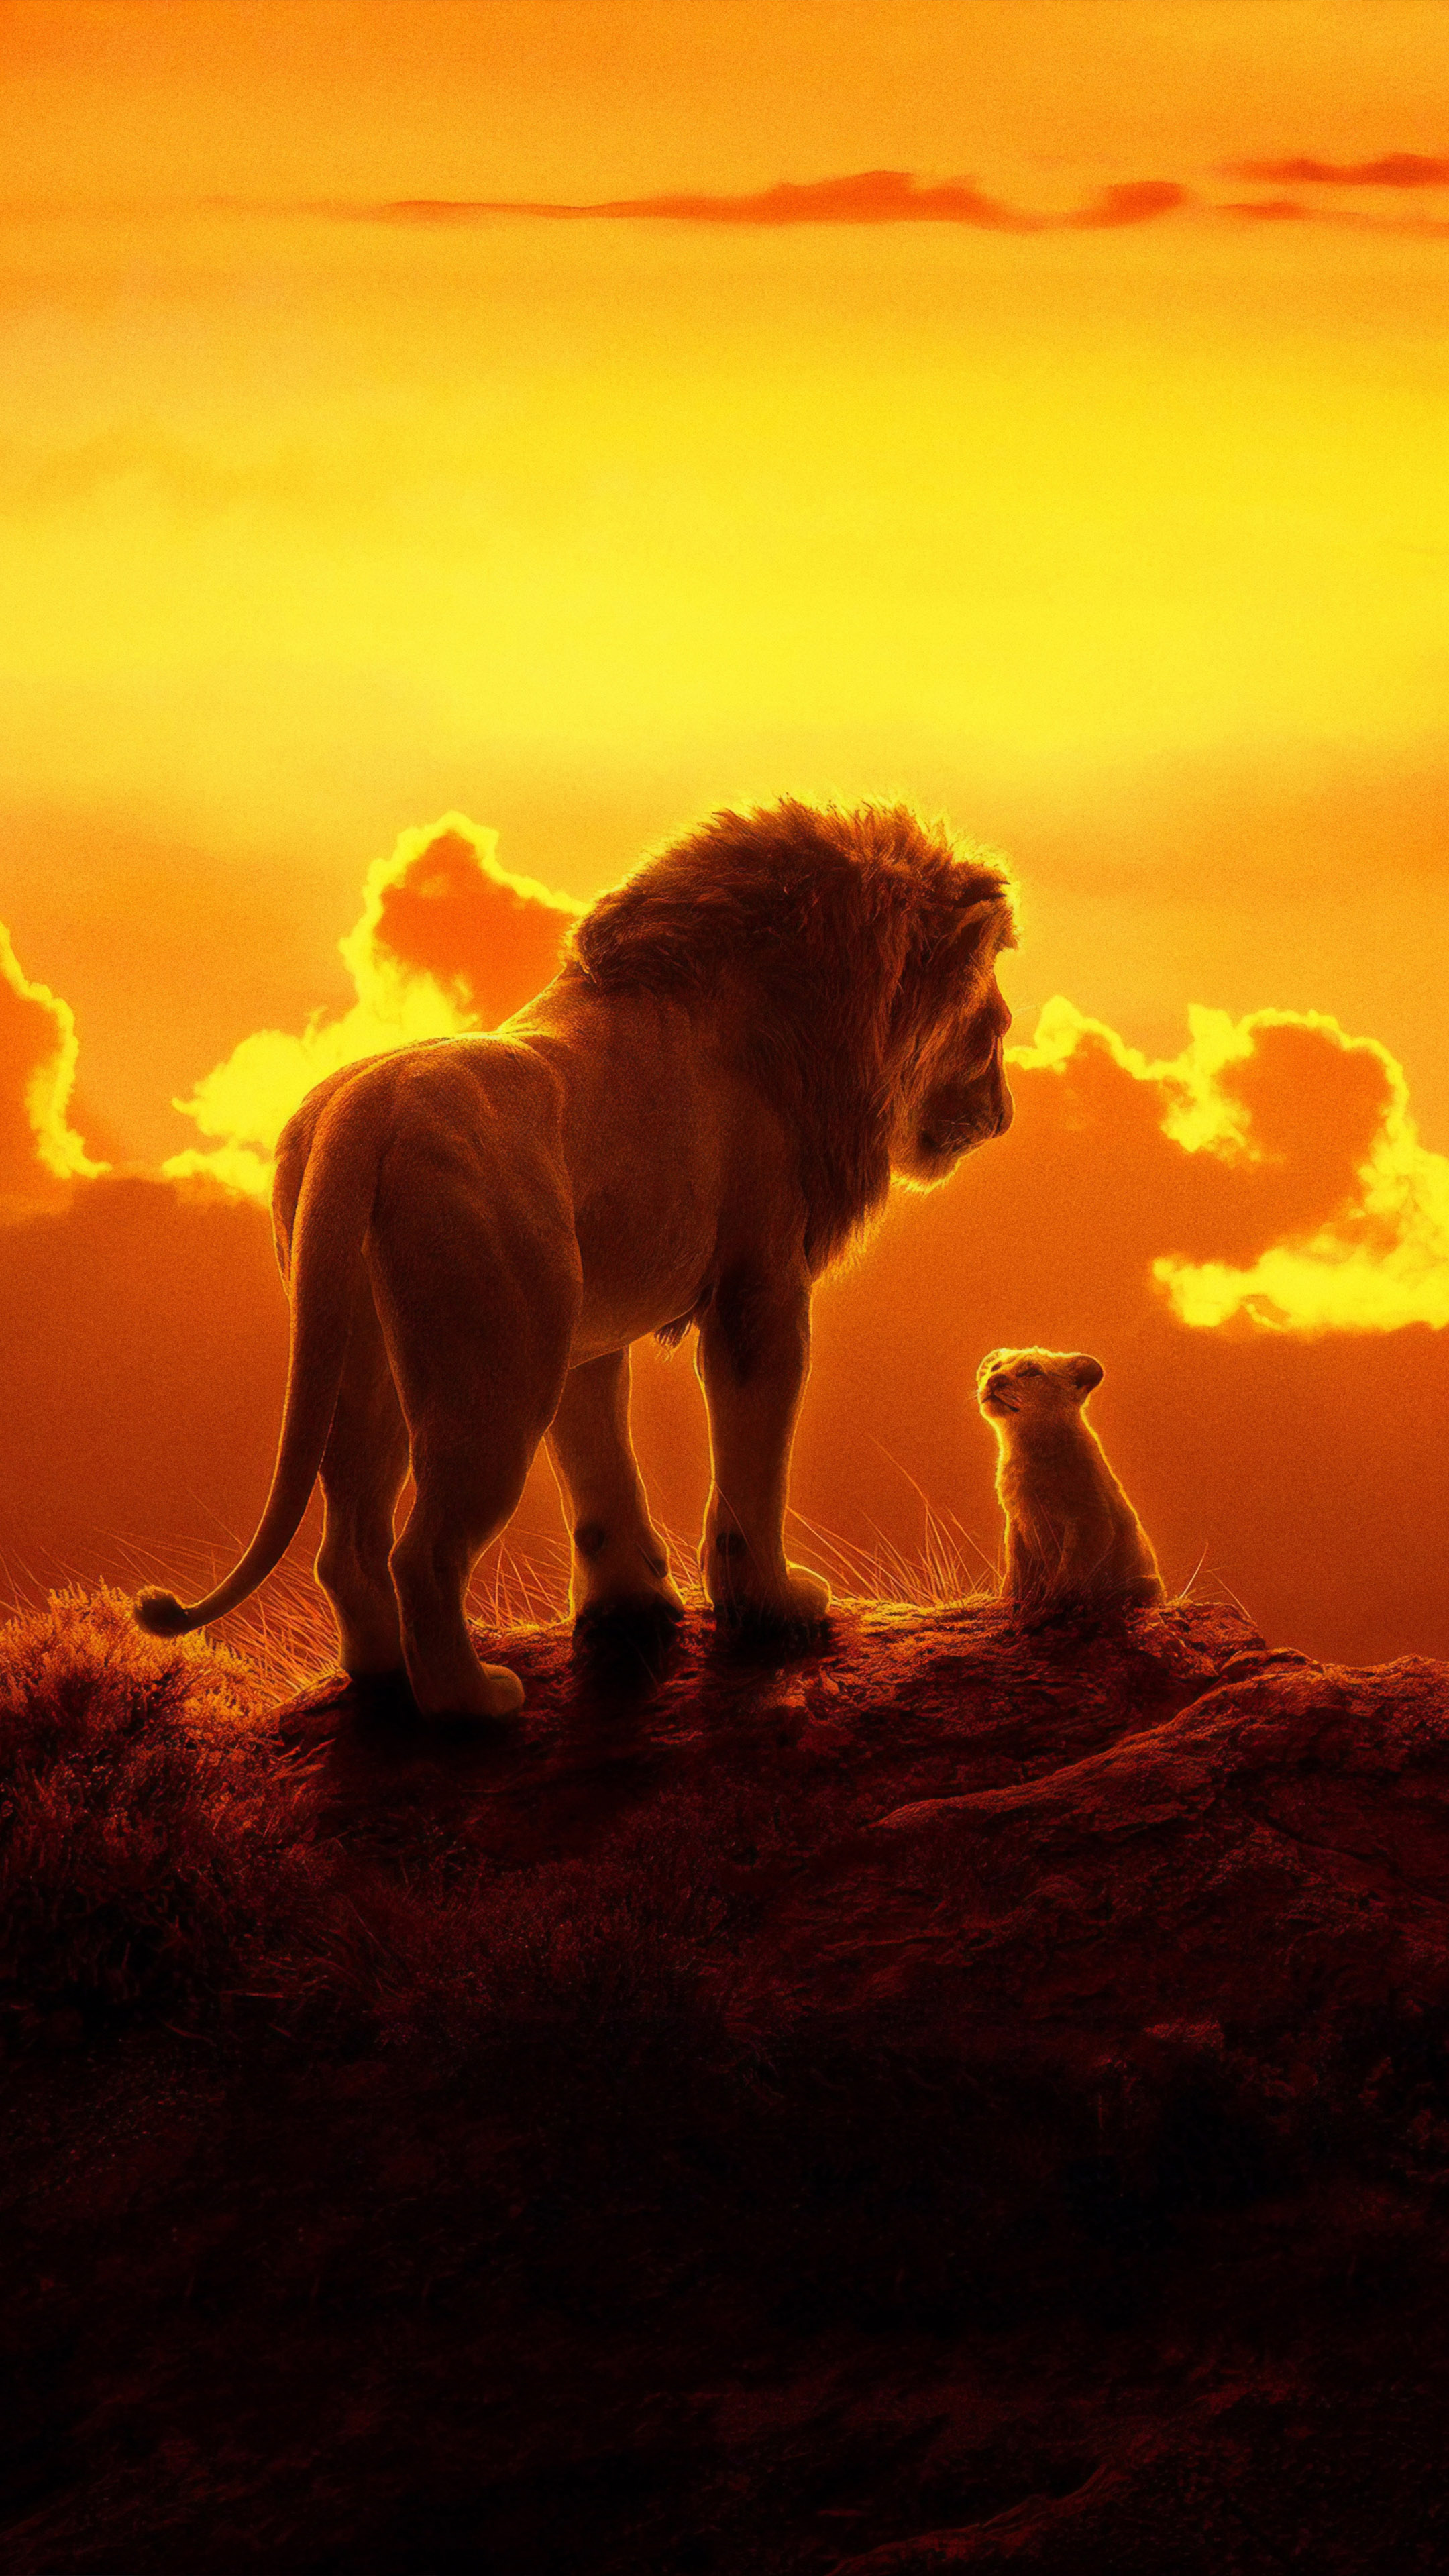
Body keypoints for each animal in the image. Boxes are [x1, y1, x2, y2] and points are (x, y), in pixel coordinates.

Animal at [135, 800, 1016, 1717]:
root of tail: (364, 1111)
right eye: (994, 1032)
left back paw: (382, 1679)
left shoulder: (585, 1330)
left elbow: (599, 1471)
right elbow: (752, 1472)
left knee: (348, 1544)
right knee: (424, 1553)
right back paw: (473, 1703)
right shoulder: (761, 1291)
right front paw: (772, 1607)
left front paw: (631, 1606)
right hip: (495, 1372)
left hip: (363, 1352)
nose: (1005, 1115)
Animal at [976, 1346, 1165, 1611]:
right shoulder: (1017, 1521)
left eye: (1032, 1371)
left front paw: (1052, 1605)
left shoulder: (1090, 1520)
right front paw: (1008, 1600)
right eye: (995, 1367)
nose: (995, 1380)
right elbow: (1016, 1570)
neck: (1025, 1448)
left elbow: (1070, 1572)